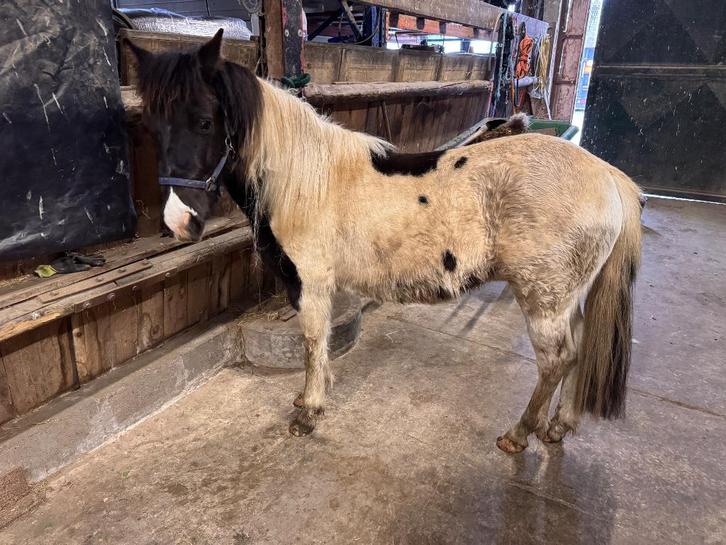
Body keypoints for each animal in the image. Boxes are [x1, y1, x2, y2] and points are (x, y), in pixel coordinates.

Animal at [127, 30, 643, 453]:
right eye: (151, 126)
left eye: (204, 122)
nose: (179, 221)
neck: (305, 179)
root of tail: (609, 176)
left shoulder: (312, 283)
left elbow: (313, 342)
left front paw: (309, 411)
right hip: (568, 297)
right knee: (581, 349)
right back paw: (558, 426)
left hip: (543, 299)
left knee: (559, 360)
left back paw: (519, 434)